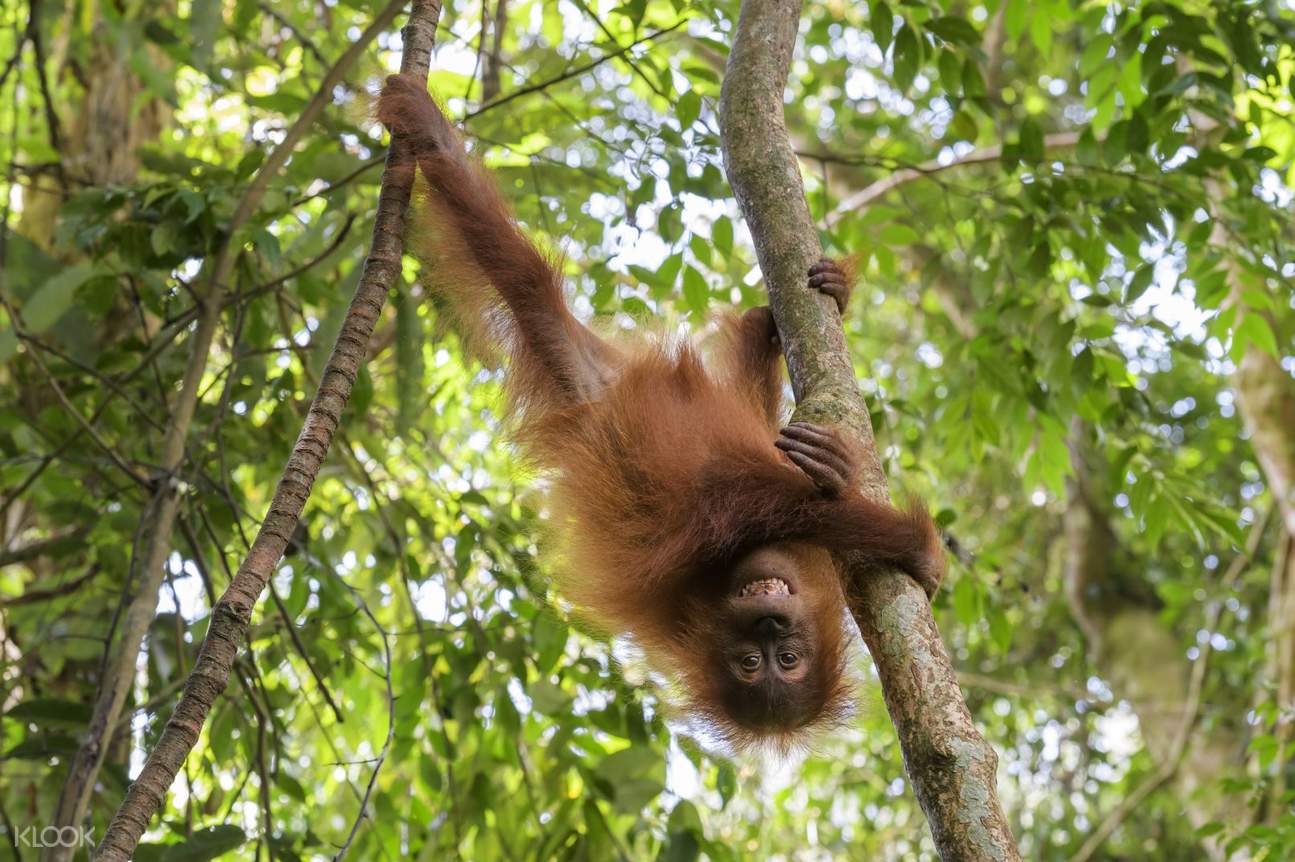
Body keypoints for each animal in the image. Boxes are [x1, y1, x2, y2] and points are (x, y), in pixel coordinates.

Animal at [376, 74, 945, 749]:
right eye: (751, 665)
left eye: (788, 660)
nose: (770, 624)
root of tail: (594, 397)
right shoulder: (705, 534)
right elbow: (745, 494)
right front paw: (917, 545)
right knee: (529, 278)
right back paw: (426, 126)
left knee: (529, 284)